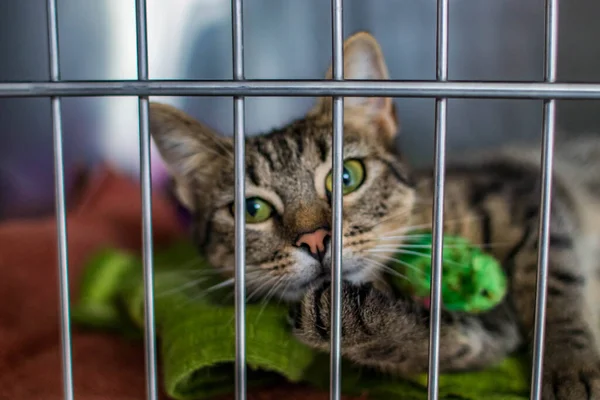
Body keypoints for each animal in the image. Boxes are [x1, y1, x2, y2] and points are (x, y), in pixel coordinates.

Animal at [148, 30, 600, 396]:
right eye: (253, 209)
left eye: (347, 177)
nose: (315, 240)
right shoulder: (488, 333)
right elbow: (445, 341)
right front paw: (351, 322)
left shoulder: (525, 193)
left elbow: (554, 288)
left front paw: (571, 368)